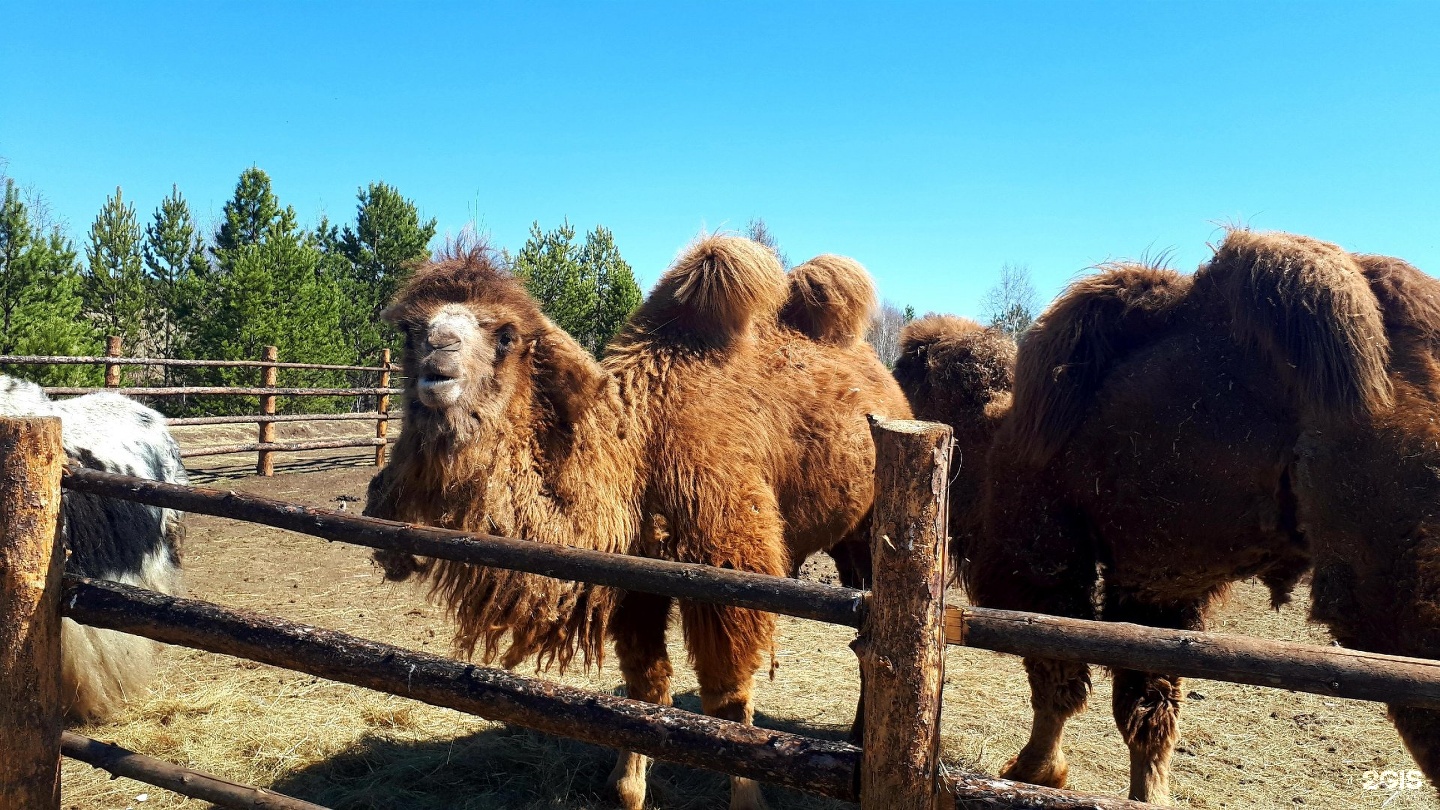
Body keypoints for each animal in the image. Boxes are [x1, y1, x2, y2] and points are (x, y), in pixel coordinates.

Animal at [365, 233, 904, 807]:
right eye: (410, 331)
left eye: (506, 334)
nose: (437, 359)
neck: (640, 451)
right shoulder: (636, 578)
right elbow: (646, 692)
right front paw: (628, 788)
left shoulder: (731, 568)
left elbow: (728, 701)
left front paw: (748, 797)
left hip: (870, 528)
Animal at [967, 230, 1440, 801]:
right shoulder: (1156, 582)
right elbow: (1149, 700)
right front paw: (1145, 794)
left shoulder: (1046, 559)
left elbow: (1058, 672)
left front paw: (1034, 772)